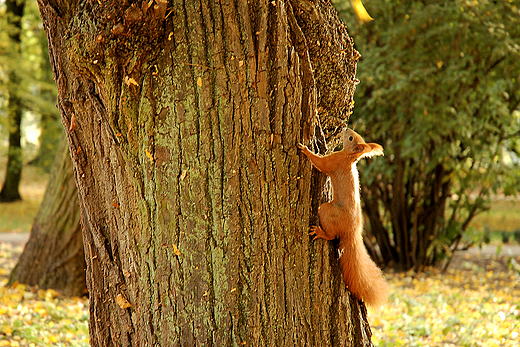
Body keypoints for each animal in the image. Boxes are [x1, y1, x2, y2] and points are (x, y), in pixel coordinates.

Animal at [298, 129, 388, 308]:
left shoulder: (335, 161)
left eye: (351, 138)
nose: (347, 129)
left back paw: (320, 232)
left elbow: (321, 163)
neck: (349, 157)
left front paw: (306, 150)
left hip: (327, 211)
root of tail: (351, 232)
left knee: (331, 235)